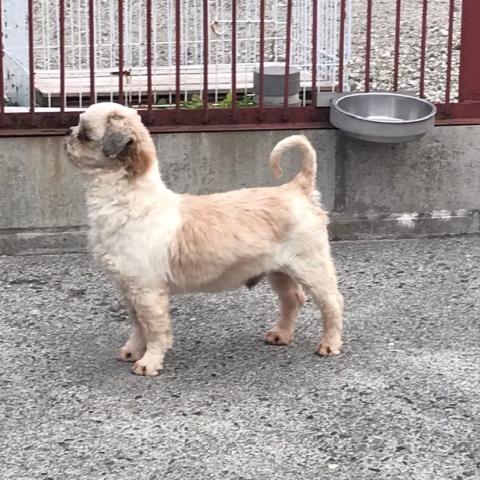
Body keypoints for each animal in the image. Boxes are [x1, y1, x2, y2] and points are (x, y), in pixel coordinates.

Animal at [65, 102, 344, 376]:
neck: (129, 203)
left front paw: (149, 362)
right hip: (279, 271)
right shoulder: (129, 289)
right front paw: (133, 350)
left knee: (332, 302)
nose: (68, 133)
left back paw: (329, 344)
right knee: (292, 299)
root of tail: (297, 189)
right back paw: (281, 334)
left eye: (85, 134)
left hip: (311, 266)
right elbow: (138, 325)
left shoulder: (147, 291)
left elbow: (154, 330)